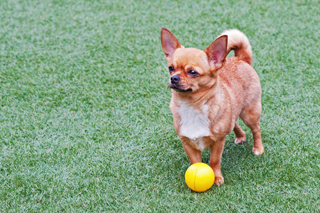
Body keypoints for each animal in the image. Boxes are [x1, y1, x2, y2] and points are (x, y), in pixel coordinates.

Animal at [161, 27, 264, 185]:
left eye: (192, 72)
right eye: (170, 68)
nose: (174, 78)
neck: (191, 105)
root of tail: (241, 59)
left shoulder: (218, 142)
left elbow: (214, 160)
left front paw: (216, 178)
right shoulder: (187, 143)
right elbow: (195, 162)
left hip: (249, 113)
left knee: (256, 129)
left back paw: (258, 148)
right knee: (234, 122)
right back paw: (241, 136)